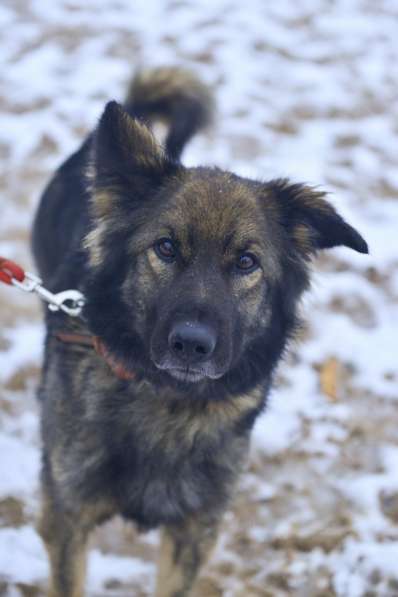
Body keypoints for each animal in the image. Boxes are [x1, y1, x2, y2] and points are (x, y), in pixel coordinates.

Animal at [32, 66, 368, 596]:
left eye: (247, 262)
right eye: (166, 248)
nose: (191, 344)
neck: (168, 401)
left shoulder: (194, 532)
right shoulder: (68, 520)